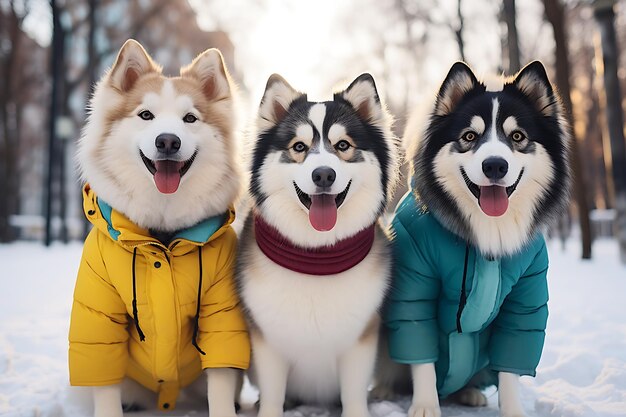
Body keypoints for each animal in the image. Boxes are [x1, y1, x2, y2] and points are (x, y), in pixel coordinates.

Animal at [70, 39, 249, 416]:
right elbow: (103, 381)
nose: (168, 141)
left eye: (190, 118)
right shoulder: (99, 310)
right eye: (146, 115)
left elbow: (221, 379)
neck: (163, 238)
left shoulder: (222, 308)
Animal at [236, 75, 398, 416]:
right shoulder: (268, 341)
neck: (316, 256)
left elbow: (354, 394)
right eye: (299, 147)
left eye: (343, 146)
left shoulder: (361, 339)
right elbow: (272, 394)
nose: (323, 174)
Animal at [378, 61, 568, 416]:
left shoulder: (526, 295)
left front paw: (513, 410)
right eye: (469, 136)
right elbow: (419, 353)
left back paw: (468, 393)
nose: (495, 165)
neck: (486, 233)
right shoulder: (415, 284)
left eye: (517, 137)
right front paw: (425, 406)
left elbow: (511, 364)